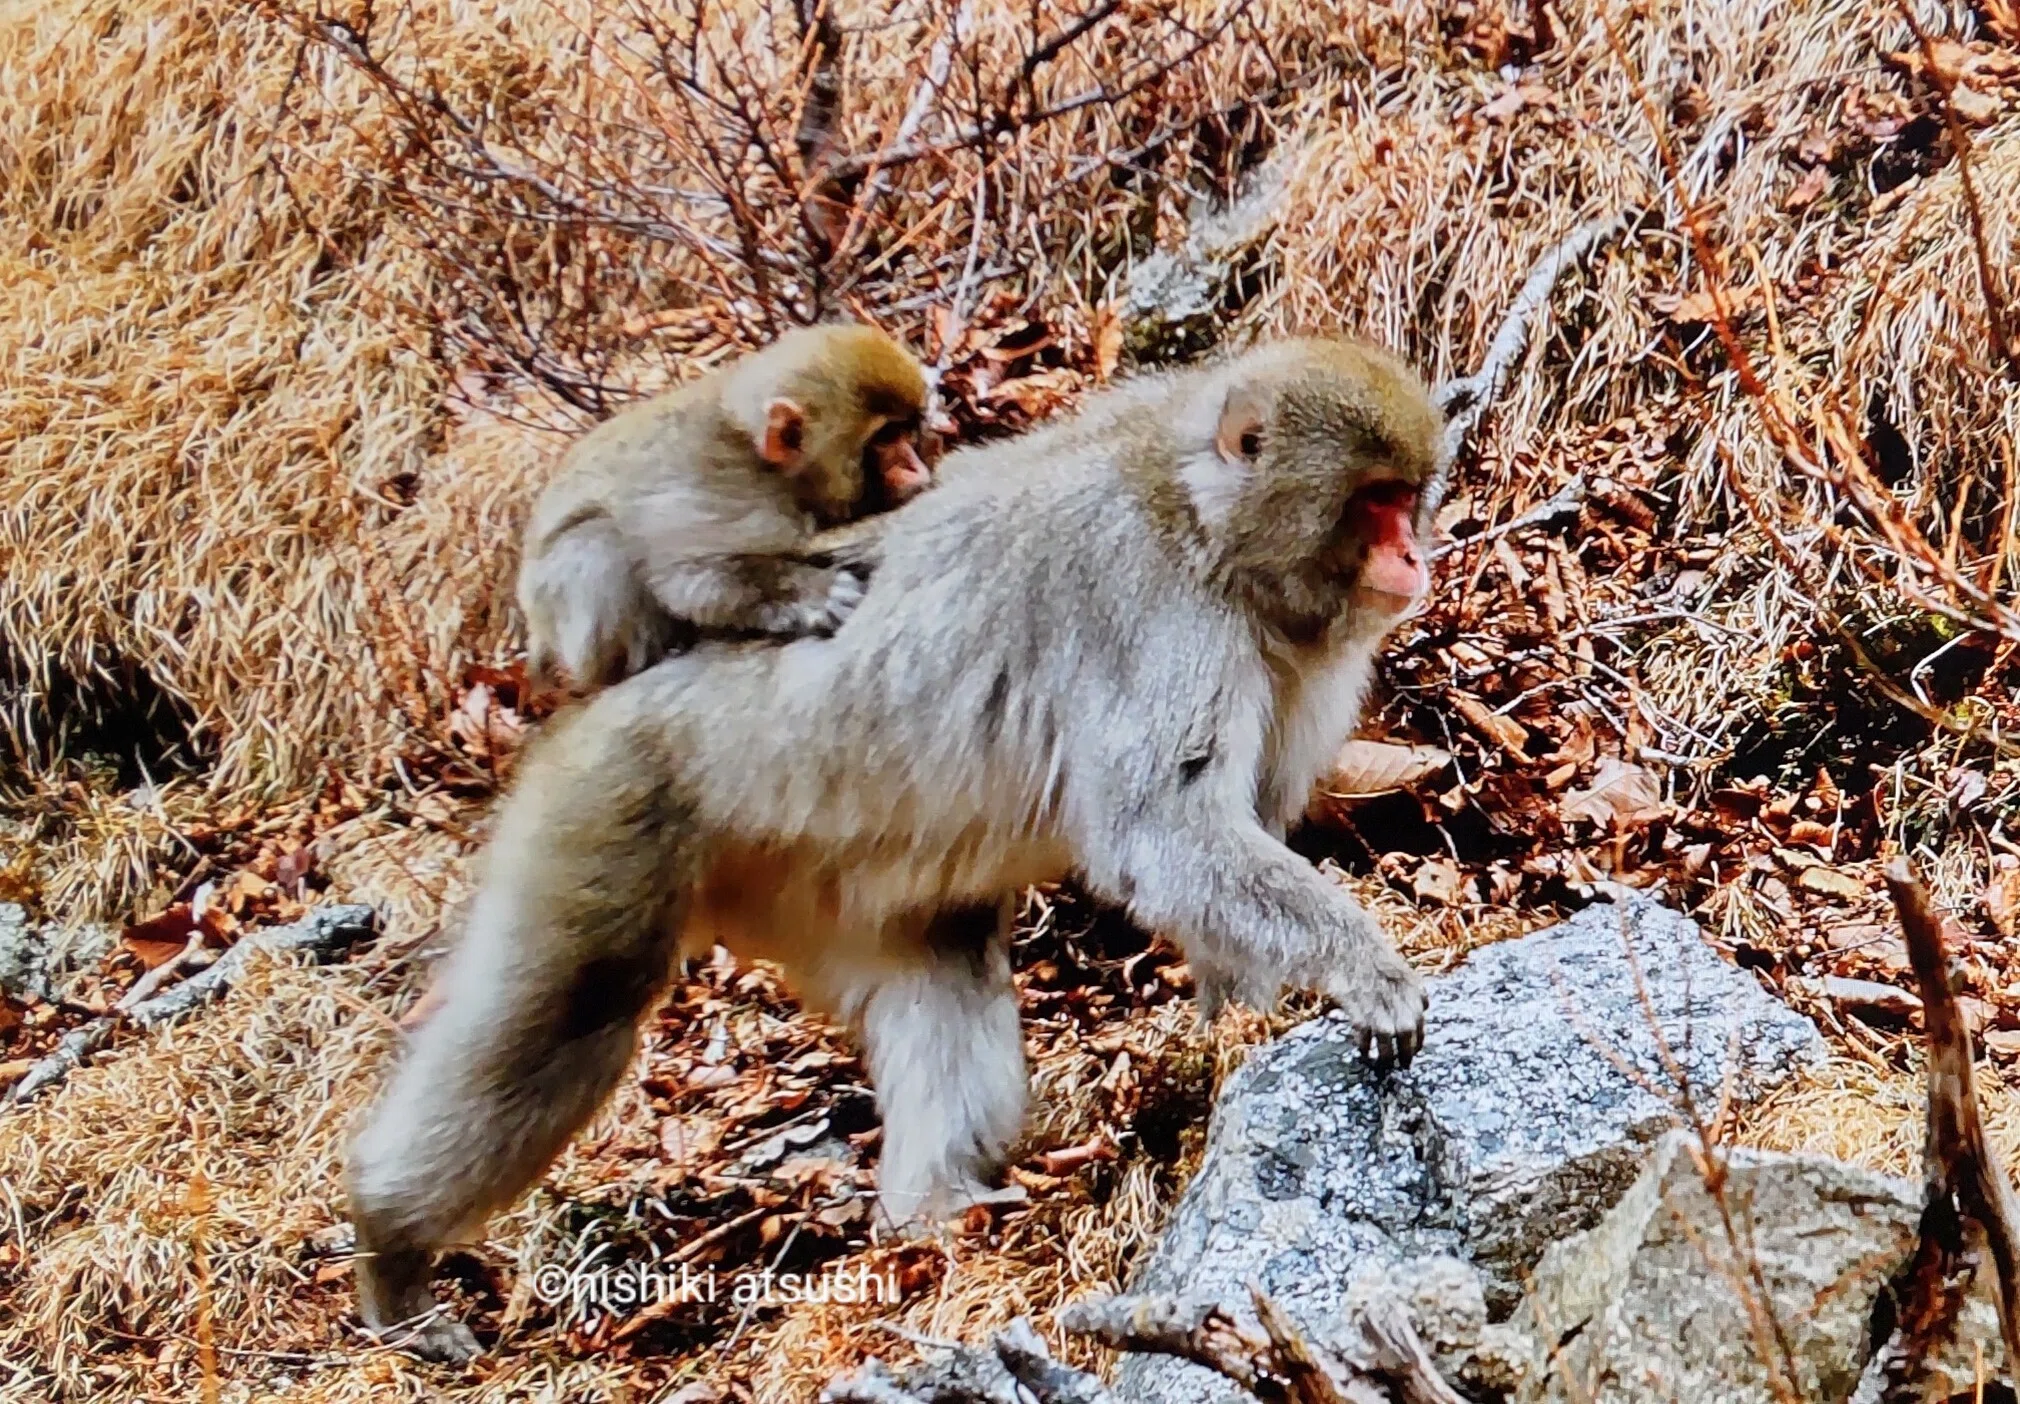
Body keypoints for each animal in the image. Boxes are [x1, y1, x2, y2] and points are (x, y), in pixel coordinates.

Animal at [517, 322, 933, 690]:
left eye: (906, 432)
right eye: (886, 438)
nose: (916, 464)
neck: (766, 463)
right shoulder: (735, 493)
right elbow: (690, 575)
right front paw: (816, 591)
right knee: (596, 540)